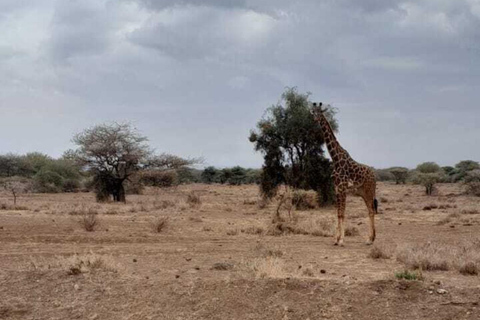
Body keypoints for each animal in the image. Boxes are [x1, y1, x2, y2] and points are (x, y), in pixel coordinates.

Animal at [314, 101, 376, 246]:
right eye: (312, 111)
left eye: (320, 112)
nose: (314, 119)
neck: (335, 158)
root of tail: (375, 176)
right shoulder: (337, 188)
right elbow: (338, 213)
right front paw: (336, 239)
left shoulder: (342, 188)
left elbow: (342, 213)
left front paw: (341, 240)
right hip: (363, 193)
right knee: (370, 210)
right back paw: (370, 239)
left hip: (369, 191)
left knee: (372, 211)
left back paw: (370, 240)